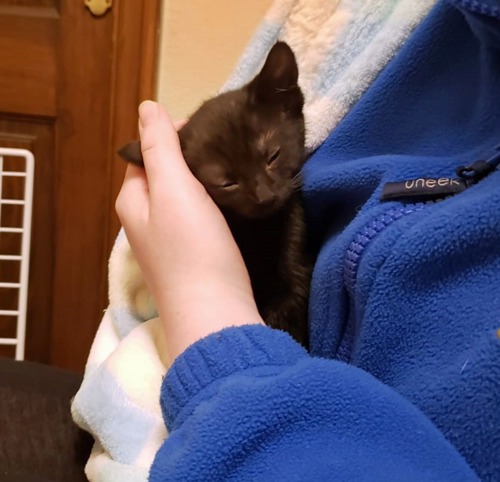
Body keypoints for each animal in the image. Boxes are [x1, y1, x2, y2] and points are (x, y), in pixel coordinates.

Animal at [119, 42, 310, 346]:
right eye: (227, 182)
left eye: (273, 156)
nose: (265, 196)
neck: (260, 229)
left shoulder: (294, 232)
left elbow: (294, 290)